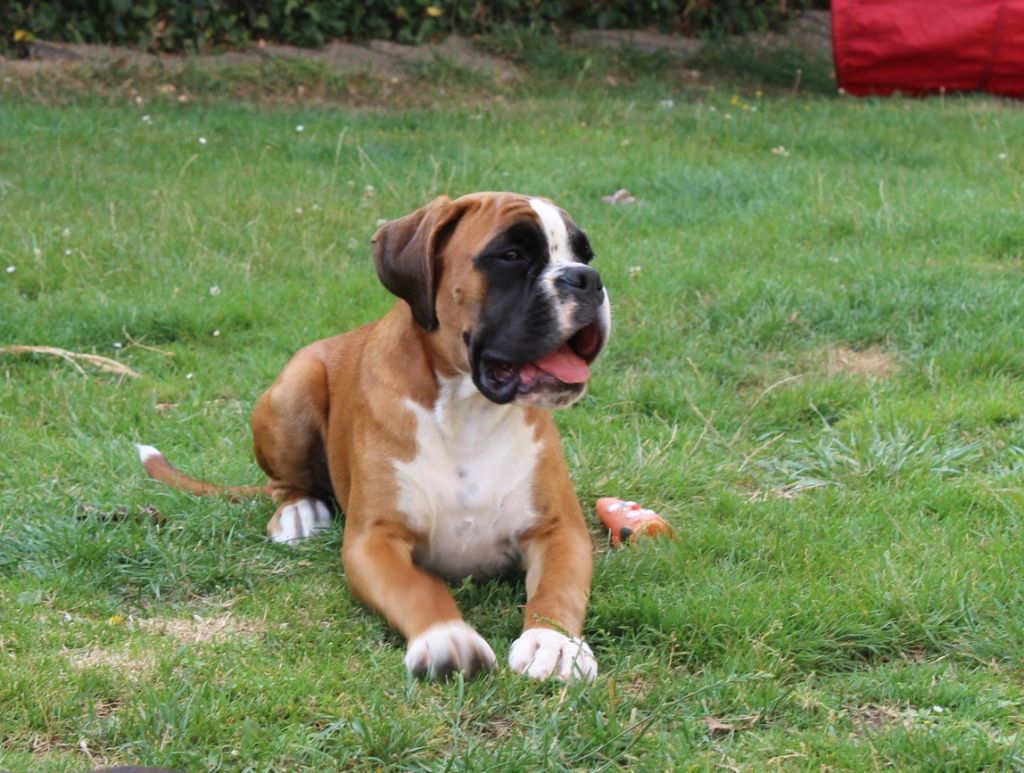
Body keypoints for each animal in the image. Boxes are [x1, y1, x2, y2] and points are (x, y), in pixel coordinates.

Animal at [138, 192, 611, 682]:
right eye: (511, 255)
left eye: (585, 256)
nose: (587, 280)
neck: (468, 410)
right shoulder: (373, 541)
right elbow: (418, 586)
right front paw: (446, 636)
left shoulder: (560, 531)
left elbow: (557, 587)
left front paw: (554, 642)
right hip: (295, 385)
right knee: (286, 485)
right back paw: (299, 512)